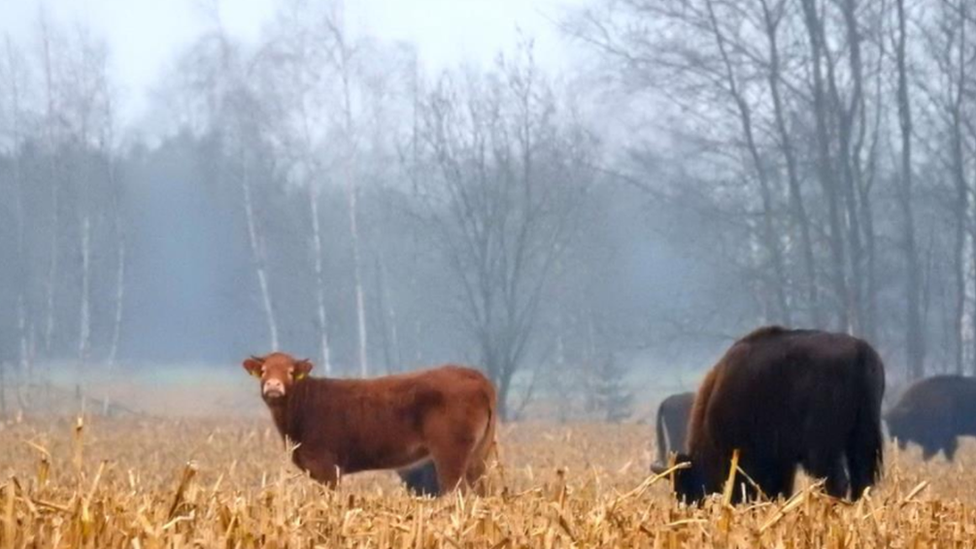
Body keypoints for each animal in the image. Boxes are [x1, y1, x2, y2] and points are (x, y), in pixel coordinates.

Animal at [243, 354, 500, 494]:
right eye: (264, 371)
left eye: (290, 371)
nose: (273, 386)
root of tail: (476, 376)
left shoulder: (327, 466)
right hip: (479, 455)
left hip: (450, 453)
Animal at [652, 328, 888, 504]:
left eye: (685, 485)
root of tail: (861, 352)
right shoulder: (782, 461)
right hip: (862, 436)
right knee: (862, 479)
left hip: (823, 449)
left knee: (836, 481)